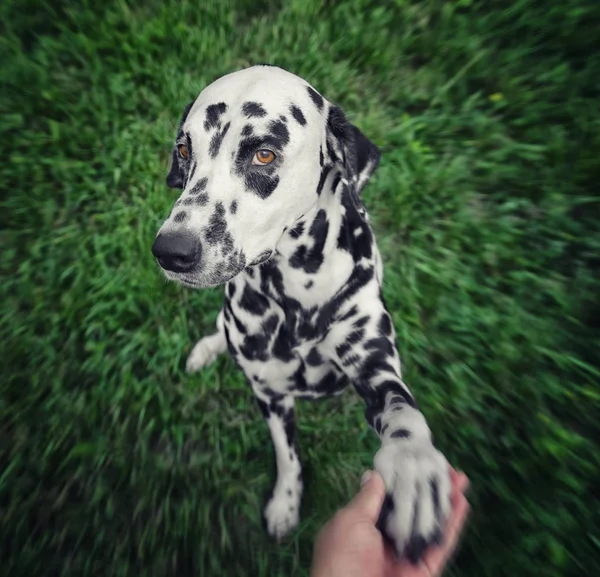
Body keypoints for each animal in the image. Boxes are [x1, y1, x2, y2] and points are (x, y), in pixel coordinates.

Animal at [152, 65, 452, 560]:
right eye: (184, 149)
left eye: (264, 154)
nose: (170, 250)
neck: (296, 299)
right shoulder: (270, 393)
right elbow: (287, 456)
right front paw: (285, 505)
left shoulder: (374, 363)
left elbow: (402, 412)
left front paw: (414, 472)